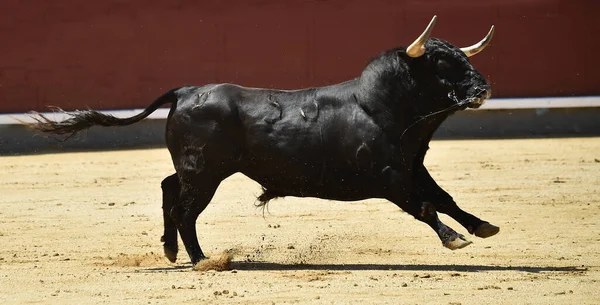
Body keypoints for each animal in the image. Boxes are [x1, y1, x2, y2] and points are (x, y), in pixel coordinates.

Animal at [25, 17, 500, 264]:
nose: (483, 88)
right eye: (441, 63)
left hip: (198, 169)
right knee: (183, 209)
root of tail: (186, 91)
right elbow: (425, 206)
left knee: (168, 189)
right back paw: (202, 260)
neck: (382, 108)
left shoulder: (413, 166)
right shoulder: (387, 177)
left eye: (460, 58)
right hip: (205, 173)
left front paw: (482, 226)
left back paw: (172, 252)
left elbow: (445, 198)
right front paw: (454, 239)